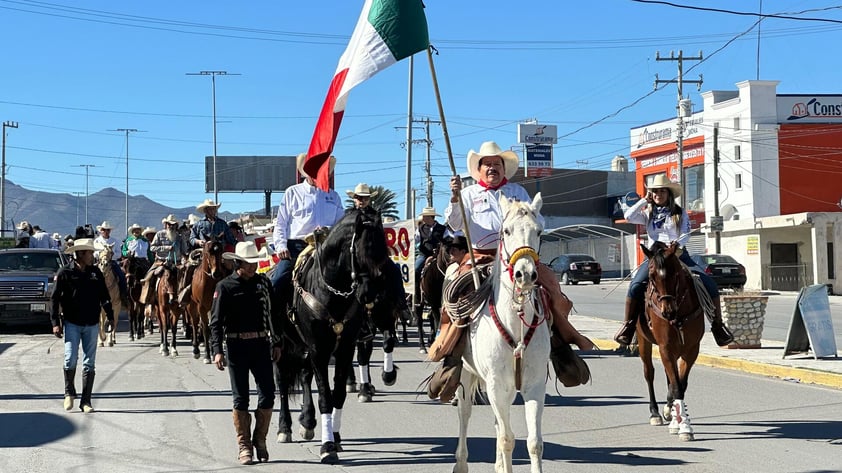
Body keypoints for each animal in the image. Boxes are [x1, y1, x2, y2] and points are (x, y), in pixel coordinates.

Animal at [184, 234, 223, 364]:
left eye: (221, 250)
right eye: (207, 251)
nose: (216, 273)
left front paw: (216, 353)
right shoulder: (201, 307)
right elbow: (205, 328)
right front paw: (207, 356)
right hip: (192, 306)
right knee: (195, 323)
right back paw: (196, 350)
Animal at [278, 207, 390, 460]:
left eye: (384, 252)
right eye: (361, 251)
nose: (370, 295)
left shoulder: (344, 348)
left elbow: (337, 394)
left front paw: (335, 436)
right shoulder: (319, 349)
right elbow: (325, 397)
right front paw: (327, 446)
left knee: (305, 376)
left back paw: (307, 422)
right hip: (280, 346)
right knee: (281, 383)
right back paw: (284, 428)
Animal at [452, 192, 544, 472]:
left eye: (539, 231)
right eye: (506, 230)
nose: (525, 274)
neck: (515, 324)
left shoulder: (535, 386)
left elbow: (534, 443)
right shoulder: (494, 384)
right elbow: (507, 439)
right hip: (466, 376)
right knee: (465, 413)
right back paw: (461, 464)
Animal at [636, 242, 704, 440]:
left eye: (675, 274)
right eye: (651, 276)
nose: (667, 311)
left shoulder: (691, 349)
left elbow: (680, 384)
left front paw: (677, 417)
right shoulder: (665, 347)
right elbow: (676, 387)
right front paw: (681, 425)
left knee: (670, 378)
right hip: (644, 341)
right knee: (649, 373)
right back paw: (655, 413)